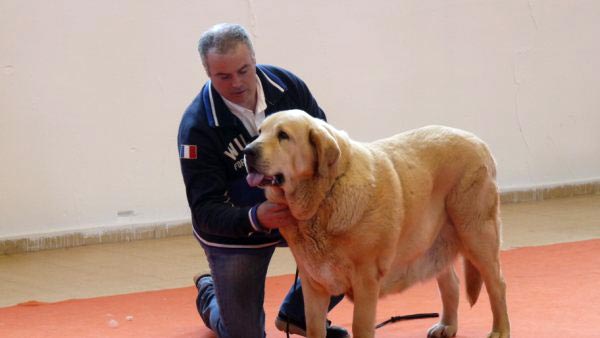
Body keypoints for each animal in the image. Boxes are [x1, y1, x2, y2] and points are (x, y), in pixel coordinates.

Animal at [244, 109, 510, 336]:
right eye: (260, 132)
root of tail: (479, 142)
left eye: (283, 135)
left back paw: (500, 330)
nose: (247, 151)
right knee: (452, 284)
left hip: (476, 234)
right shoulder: (313, 284)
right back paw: (447, 326)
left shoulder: (366, 282)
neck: (326, 194)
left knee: (497, 284)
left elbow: (360, 327)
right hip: (434, 242)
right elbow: (314, 329)